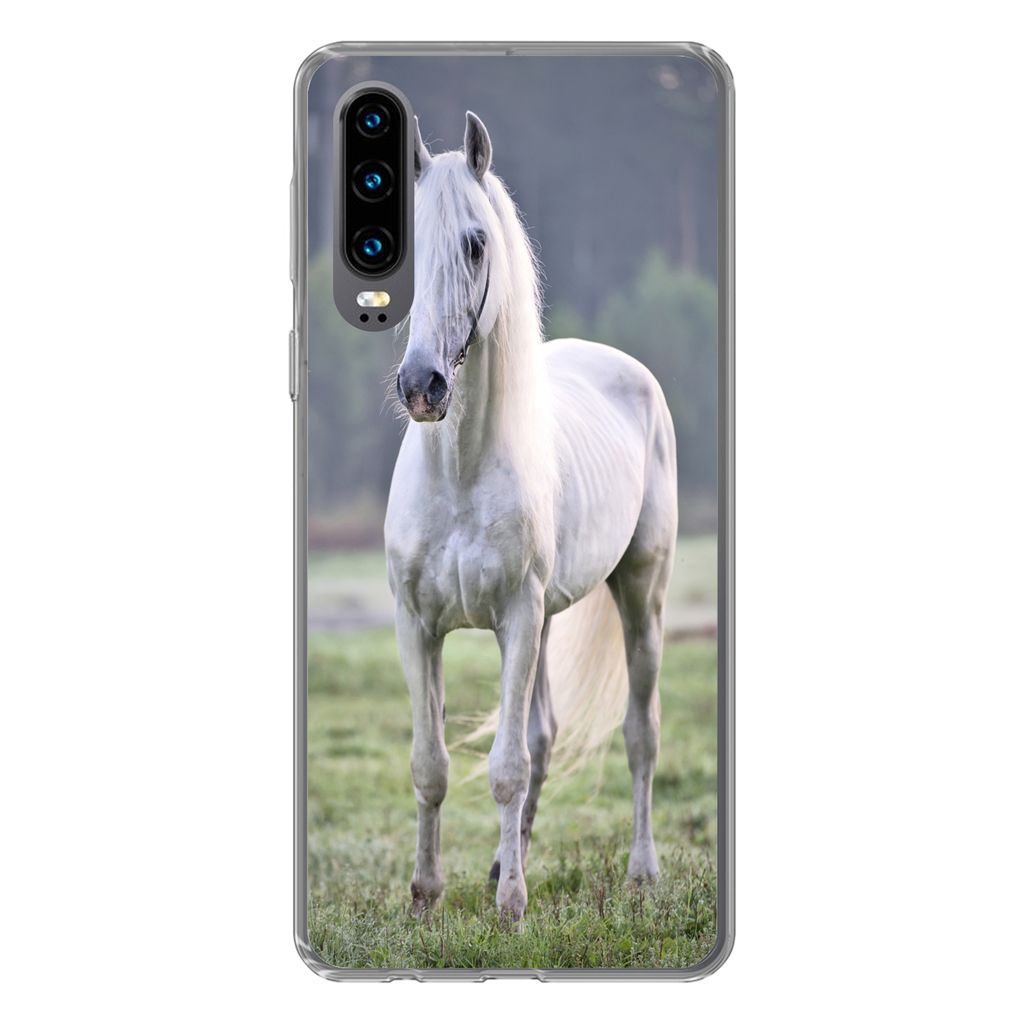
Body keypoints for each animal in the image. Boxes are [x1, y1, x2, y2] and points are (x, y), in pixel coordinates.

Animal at [384, 111, 678, 921]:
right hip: (546, 619)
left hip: (639, 596)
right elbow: (430, 764)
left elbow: (507, 768)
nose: (421, 386)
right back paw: (498, 863)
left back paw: (640, 870)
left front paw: (512, 908)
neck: (458, 474)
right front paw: (426, 895)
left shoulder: (515, 618)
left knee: (639, 735)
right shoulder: (418, 626)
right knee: (544, 736)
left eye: (476, 243)